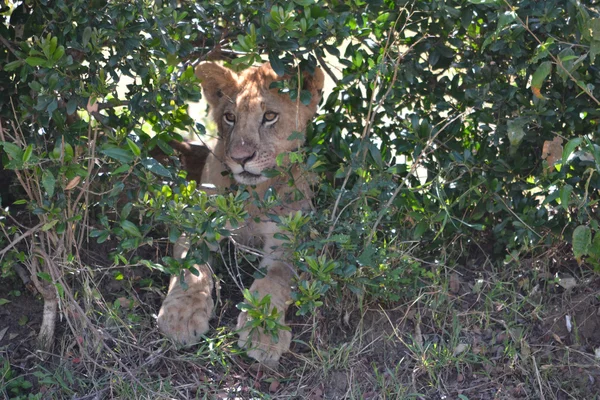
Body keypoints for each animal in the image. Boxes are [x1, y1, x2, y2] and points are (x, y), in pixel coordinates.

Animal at [156, 61, 324, 366]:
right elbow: (191, 270)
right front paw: (181, 316)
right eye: (230, 117)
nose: (240, 158)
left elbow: (273, 280)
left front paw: (263, 333)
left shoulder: (289, 239)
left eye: (269, 116)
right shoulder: (199, 224)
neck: (254, 194)